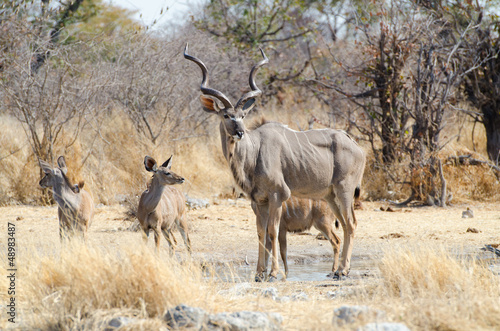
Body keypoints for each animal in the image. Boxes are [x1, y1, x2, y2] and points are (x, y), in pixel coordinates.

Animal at [186, 44, 366, 282]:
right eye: (226, 115)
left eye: (243, 115)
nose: (239, 132)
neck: (254, 151)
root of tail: (358, 147)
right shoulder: (259, 201)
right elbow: (260, 233)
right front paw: (258, 273)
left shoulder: (278, 196)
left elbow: (272, 231)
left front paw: (272, 273)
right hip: (330, 195)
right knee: (345, 225)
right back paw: (338, 270)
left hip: (344, 190)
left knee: (352, 224)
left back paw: (343, 270)